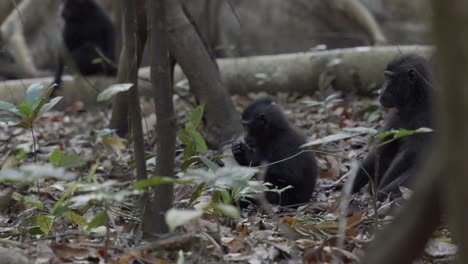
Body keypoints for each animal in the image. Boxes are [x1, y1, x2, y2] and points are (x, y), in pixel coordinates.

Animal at [352, 54, 434, 199]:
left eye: (389, 78)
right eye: (386, 76)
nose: (380, 92)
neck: (416, 101)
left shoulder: (425, 117)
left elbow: (412, 155)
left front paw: (380, 192)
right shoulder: (396, 114)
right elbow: (382, 148)